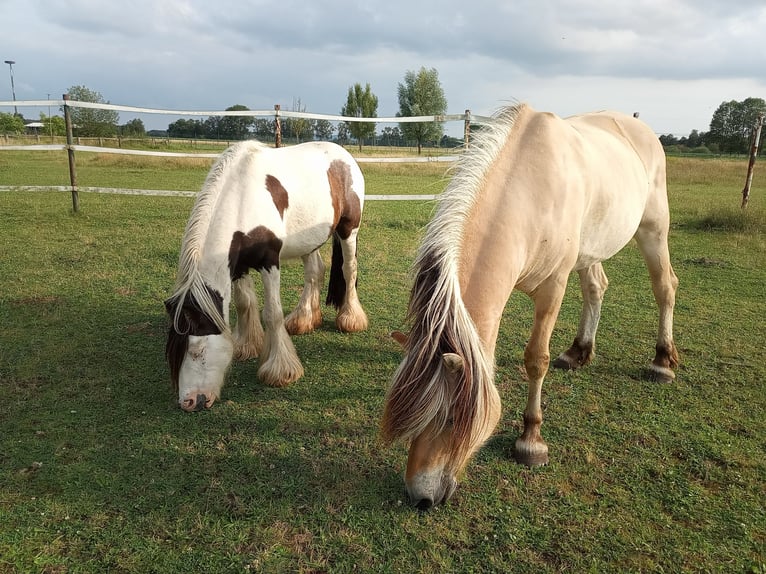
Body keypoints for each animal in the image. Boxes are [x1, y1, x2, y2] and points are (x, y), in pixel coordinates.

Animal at [165, 140, 368, 411]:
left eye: (197, 351)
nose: (189, 402)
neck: (241, 197)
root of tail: (343, 155)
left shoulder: (269, 262)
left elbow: (272, 314)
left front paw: (281, 370)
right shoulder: (238, 264)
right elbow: (243, 303)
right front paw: (246, 345)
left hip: (349, 229)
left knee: (348, 269)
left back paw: (350, 318)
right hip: (309, 240)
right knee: (314, 271)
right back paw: (304, 319)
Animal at [381, 103, 679, 510]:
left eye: (452, 418)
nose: (420, 496)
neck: (530, 193)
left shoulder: (553, 288)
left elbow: (536, 359)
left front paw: (531, 441)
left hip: (654, 230)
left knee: (665, 287)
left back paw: (662, 361)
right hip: (591, 251)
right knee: (596, 288)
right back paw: (578, 352)